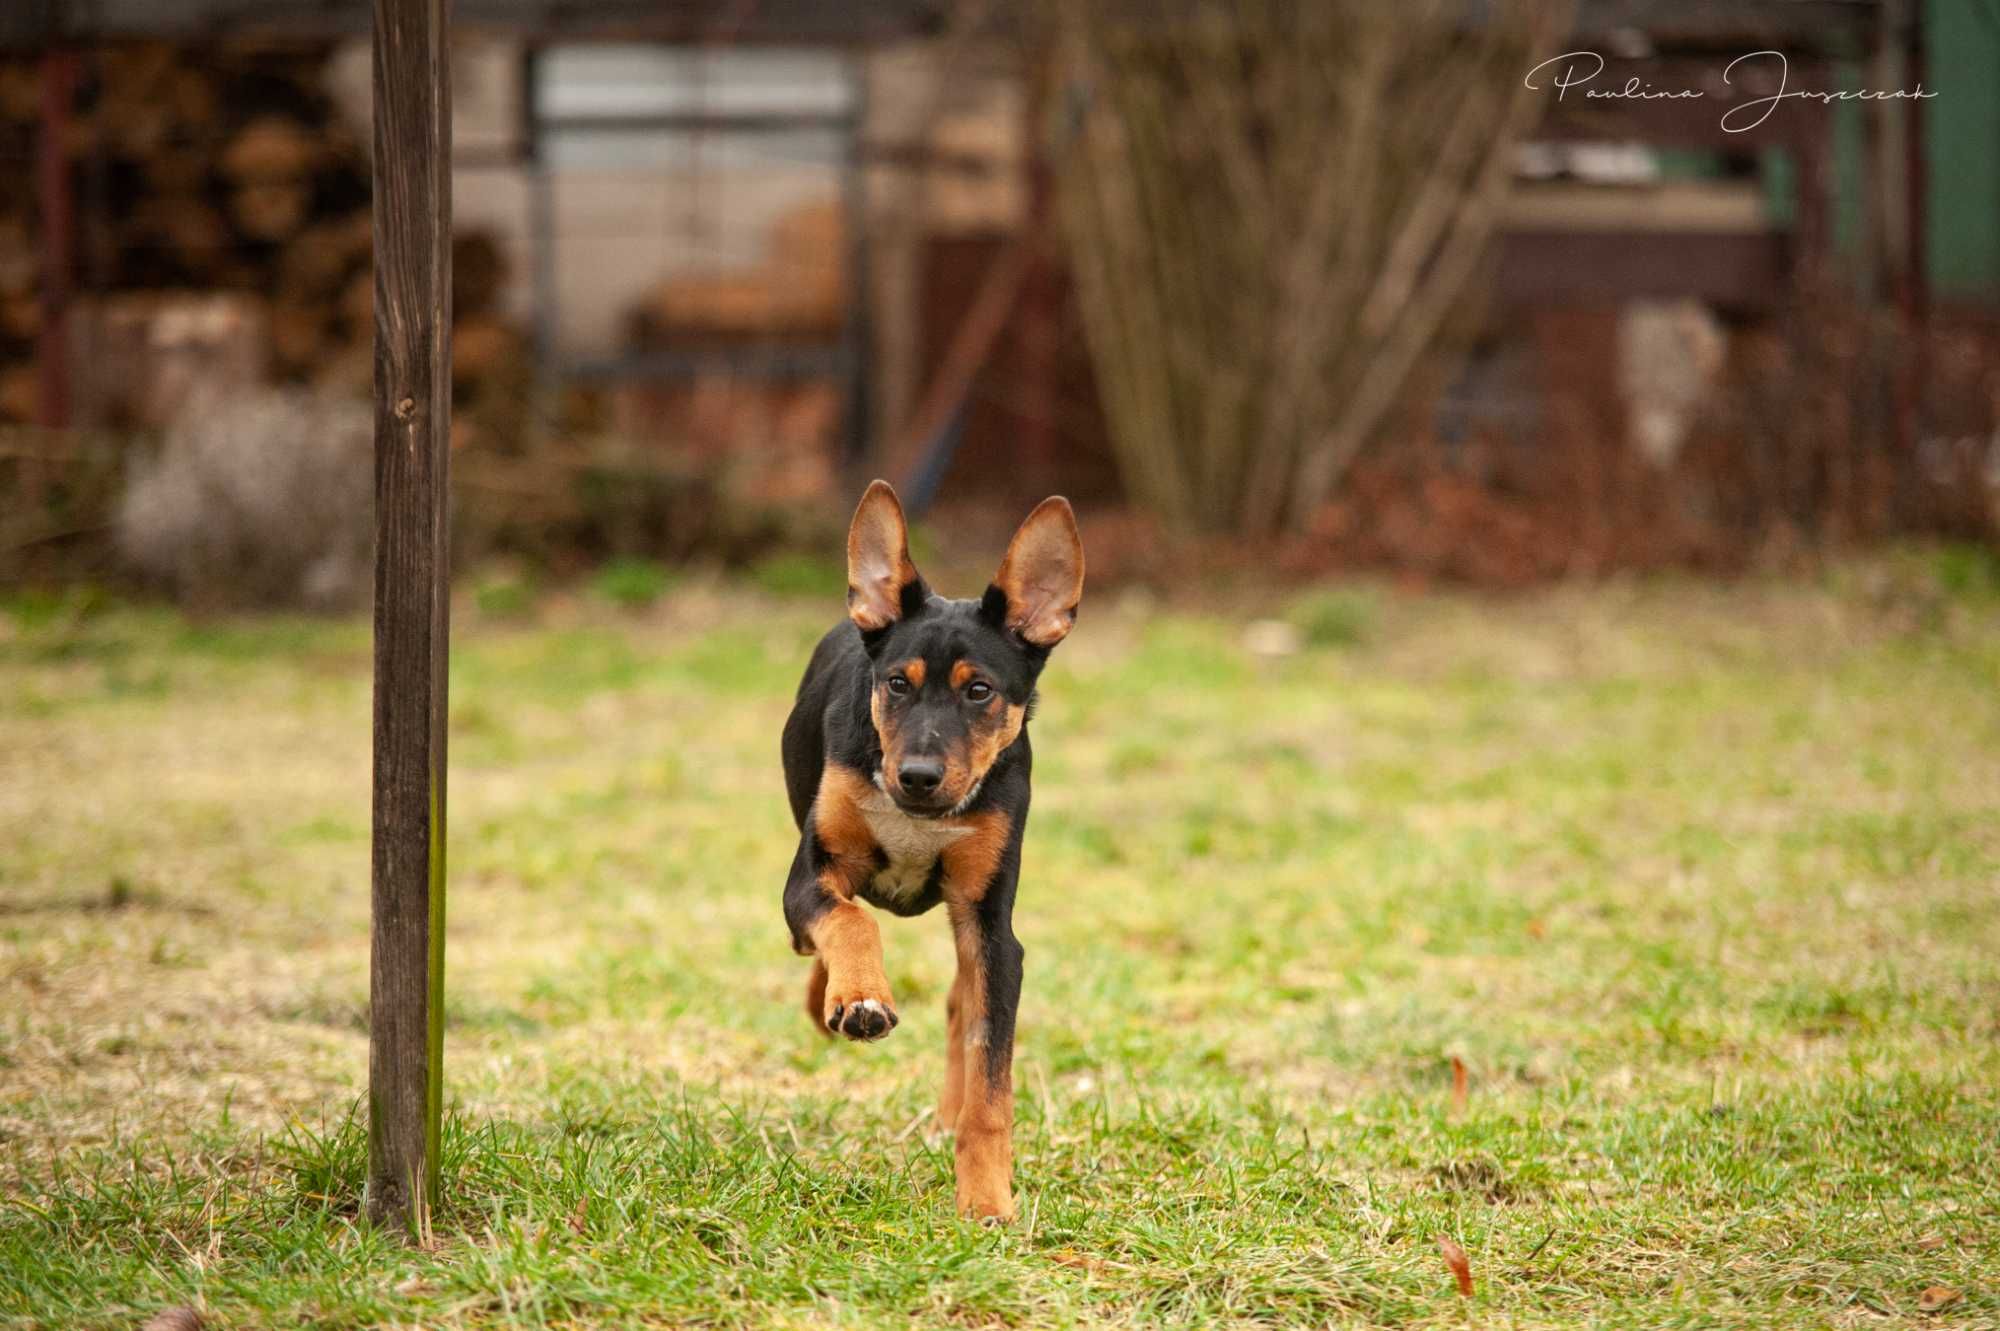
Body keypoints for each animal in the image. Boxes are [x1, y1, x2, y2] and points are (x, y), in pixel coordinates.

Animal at [784, 477, 1096, 1215]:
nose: (919, 776)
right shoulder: (808, 875)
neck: (918, 817)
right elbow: (847, 918)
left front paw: (986, 1203)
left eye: (979, 690)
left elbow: (991, 1080)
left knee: (962, 1000)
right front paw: (858, 998)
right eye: (897, 682)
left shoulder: (992, 928)